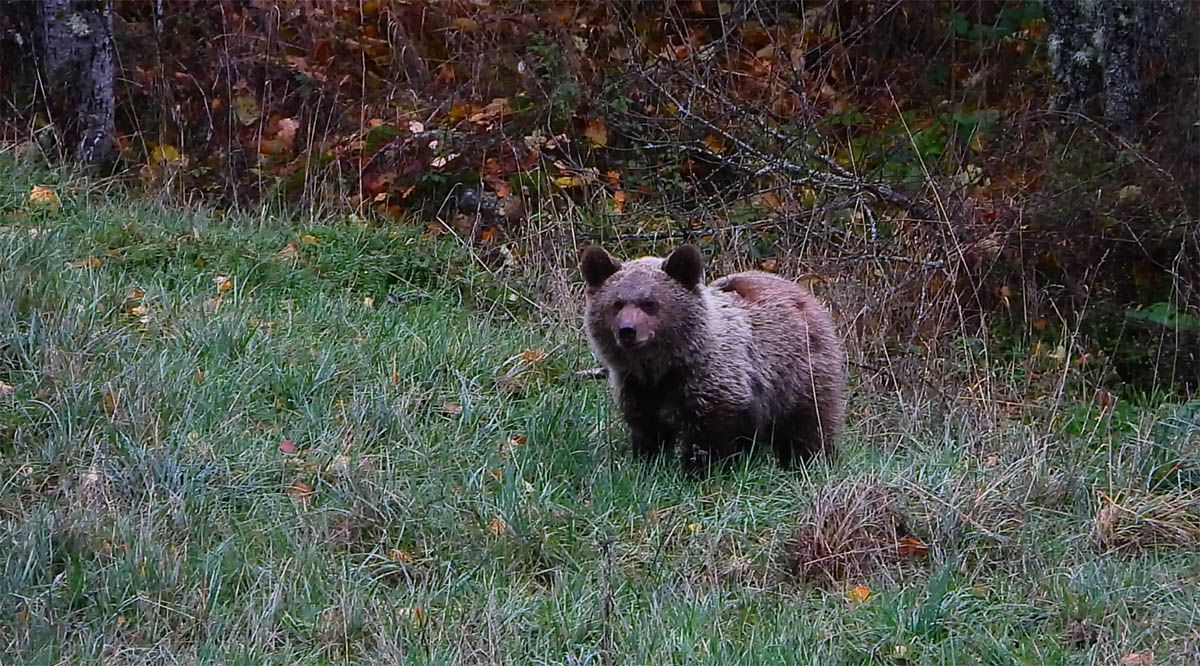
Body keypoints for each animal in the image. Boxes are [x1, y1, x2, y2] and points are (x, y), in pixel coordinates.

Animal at [578, 244, 844, 475]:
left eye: (650, 303)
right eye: (617, 303)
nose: (627, 330)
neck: (665, 367)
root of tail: (804, 294)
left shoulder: (714, 383)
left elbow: (708, 437)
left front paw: (698, 470)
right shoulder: (637, 388)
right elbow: (648, 431)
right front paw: (648, 461)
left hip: (798, 374)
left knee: (808, 424)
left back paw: (808, 461)